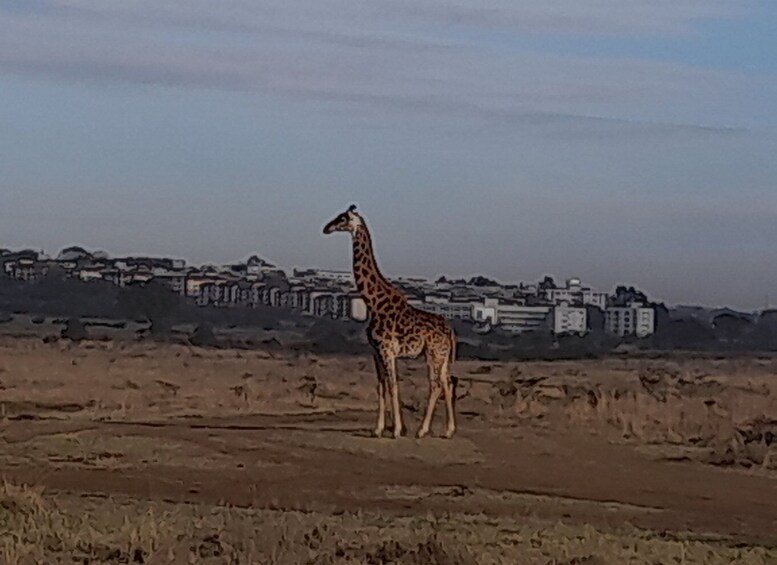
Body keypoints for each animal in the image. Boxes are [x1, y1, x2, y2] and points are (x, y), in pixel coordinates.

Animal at [320, 205, 454, 438]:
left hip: (433, 354)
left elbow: (393, 386)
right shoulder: (375, 351)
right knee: (447, 383)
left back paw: (422, 430)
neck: (373, 302)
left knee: (436, 384)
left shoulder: (387, 349)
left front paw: (397, 430)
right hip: (442, 356)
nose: (326, 228)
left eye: (343, 218)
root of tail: (450, 331)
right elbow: (381, 386)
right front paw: (378, 429)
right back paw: (448, 430)